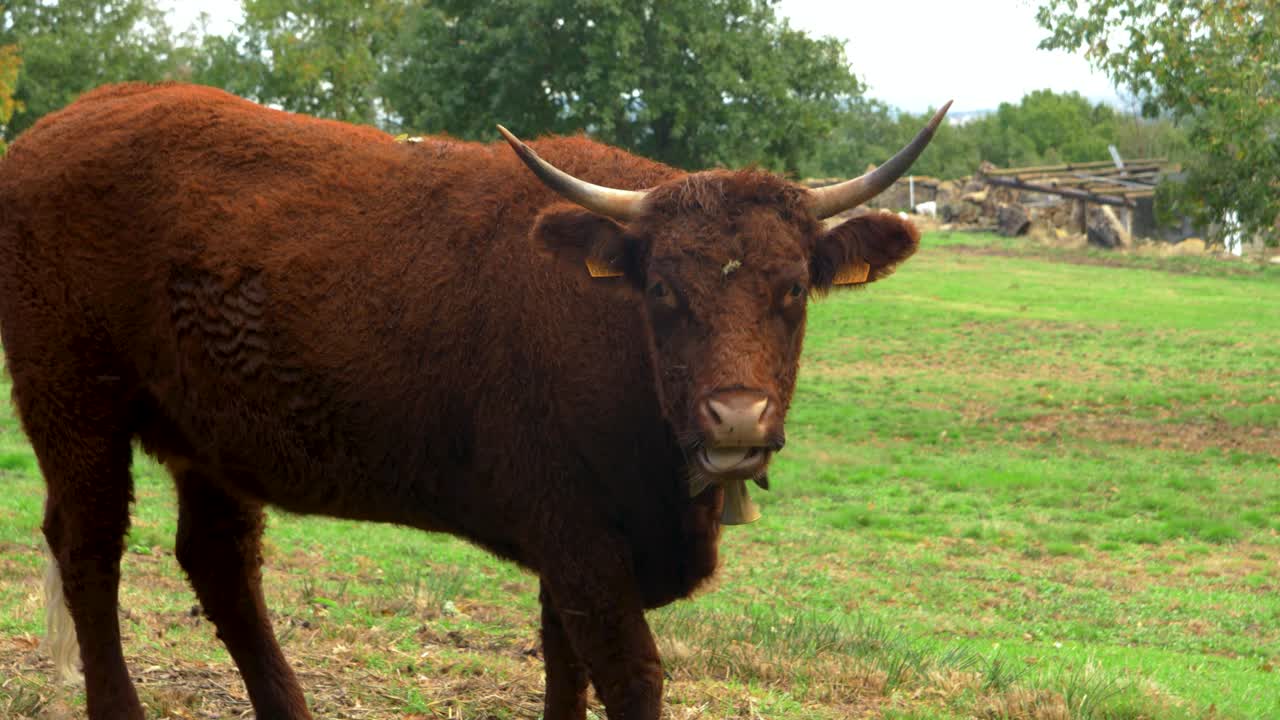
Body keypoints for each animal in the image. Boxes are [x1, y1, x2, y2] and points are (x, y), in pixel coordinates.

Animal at [0, 82, 947, 720]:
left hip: (211, 437)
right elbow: (628, 674)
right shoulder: (577, 533)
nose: (737, 419)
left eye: (792, 290)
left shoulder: (579, 547)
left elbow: (565, 666)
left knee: (220, 564)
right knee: (90, 553)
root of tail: (63, 123)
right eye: (663, 291)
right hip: (72, 404)